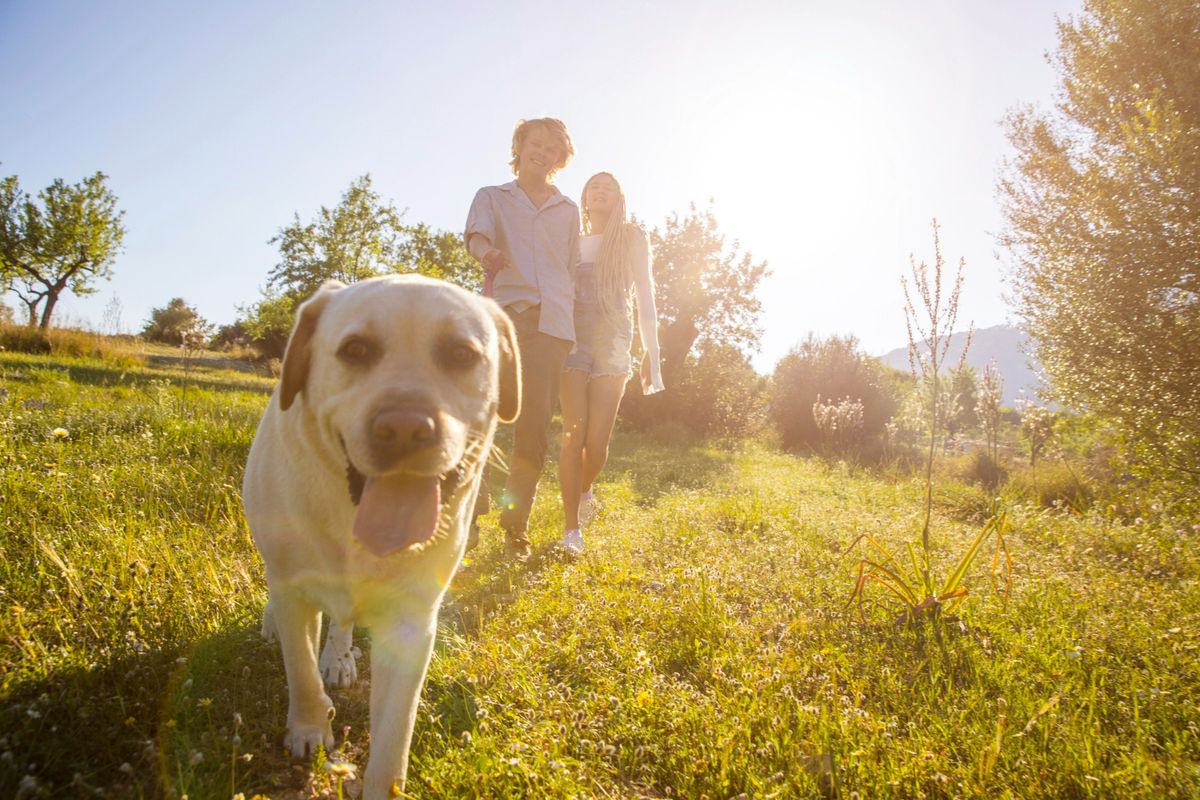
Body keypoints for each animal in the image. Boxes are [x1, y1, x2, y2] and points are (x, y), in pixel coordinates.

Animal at [244, 273, 520, 796]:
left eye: (461, 354)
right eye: (355, 349)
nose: (406, 428)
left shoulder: (411, 620)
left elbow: (395, 731)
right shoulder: (296, 591)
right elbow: (301, 671)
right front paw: (308, 729)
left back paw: (339, 655)